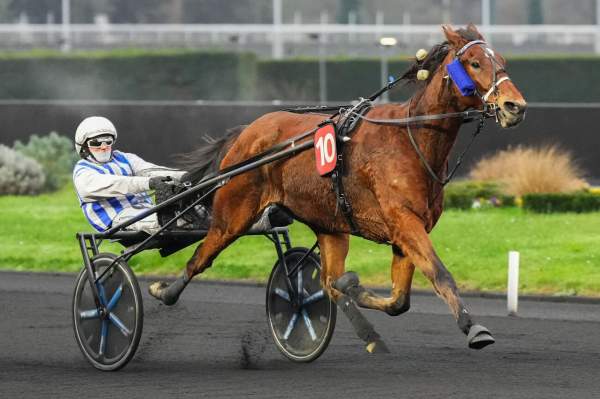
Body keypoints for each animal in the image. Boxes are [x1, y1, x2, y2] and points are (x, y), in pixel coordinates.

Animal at [149, 23, 524, 352]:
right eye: (475, 62)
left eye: (502, 60)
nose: (514, 106)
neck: (411, 138)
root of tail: (248, 131)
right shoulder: (404, 221)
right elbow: (440, 275)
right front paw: (474, 328)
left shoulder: (405, 233)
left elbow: (397, 300)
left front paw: (354, 286)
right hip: (235, 212)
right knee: (201, 257)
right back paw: (163, 292)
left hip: (329, 225)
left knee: (328, 283)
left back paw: (367, 334)